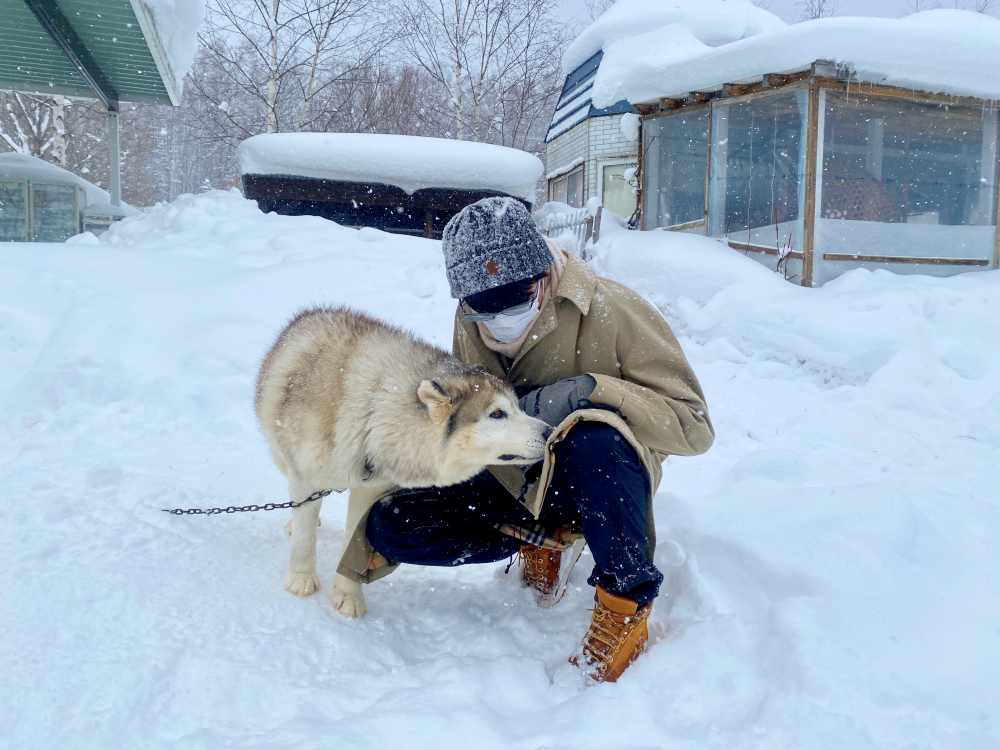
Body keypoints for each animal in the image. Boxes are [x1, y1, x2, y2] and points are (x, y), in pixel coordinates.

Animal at [250, 306, 548, 616]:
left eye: (517, 407)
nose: (549, 432)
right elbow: (304, 538)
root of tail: (314, 312)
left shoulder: (369, 491)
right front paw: (301, 579)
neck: (371, 413)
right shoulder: (307, 476)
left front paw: (348, 595)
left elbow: (353, 544)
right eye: (497, 414)